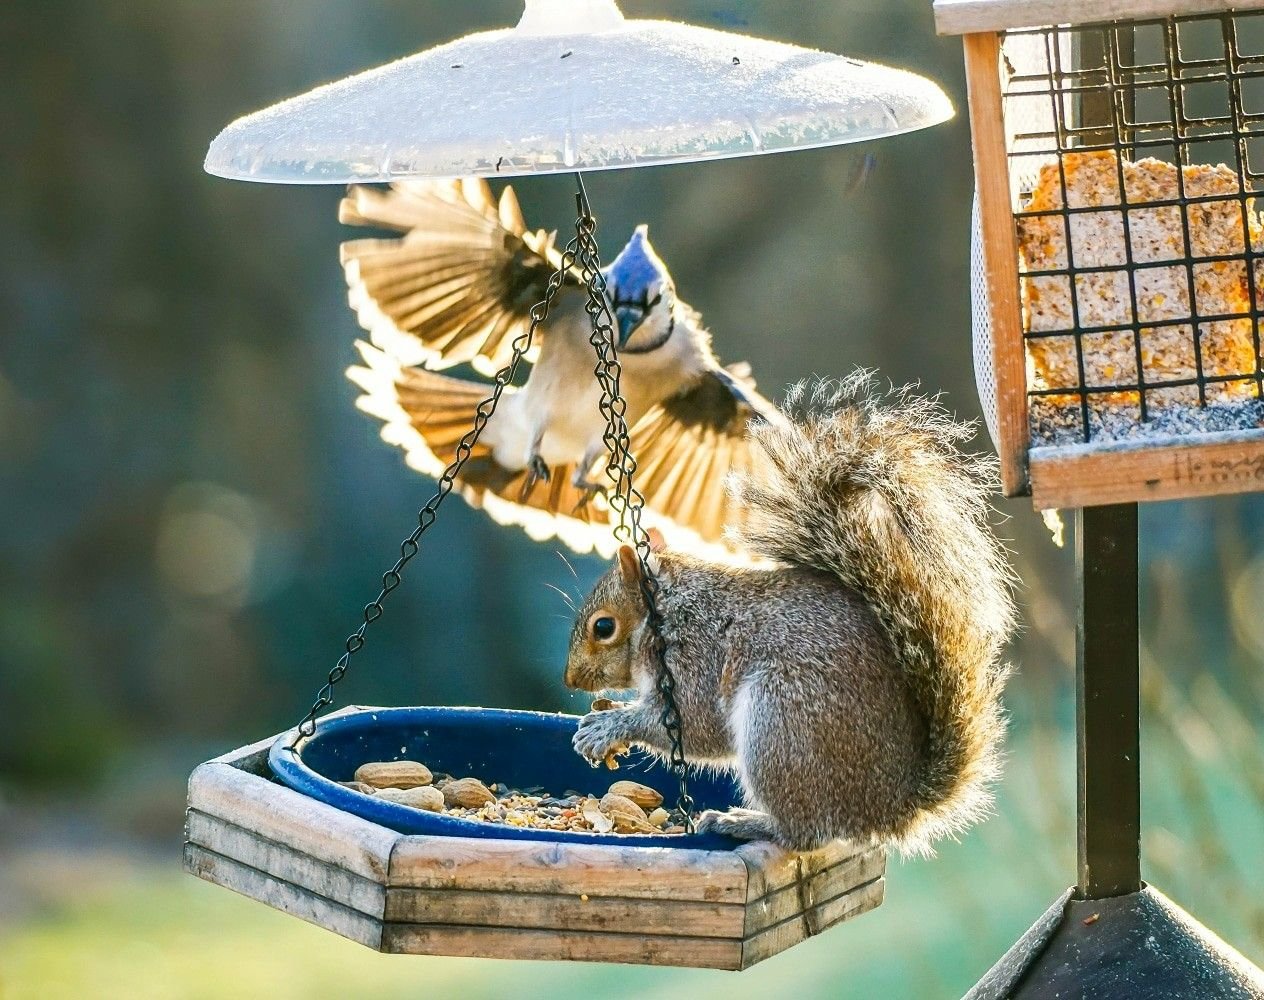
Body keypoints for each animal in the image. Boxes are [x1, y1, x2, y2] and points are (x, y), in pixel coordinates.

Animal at [563, 373, 1017, 854]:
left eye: (603, 627)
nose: (570, 680)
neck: (665, 614)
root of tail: (891, 808)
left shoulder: (695, 656)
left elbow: (695, 725)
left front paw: (606, 726)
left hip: (780, 722)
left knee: (804, 832)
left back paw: (745, 821)